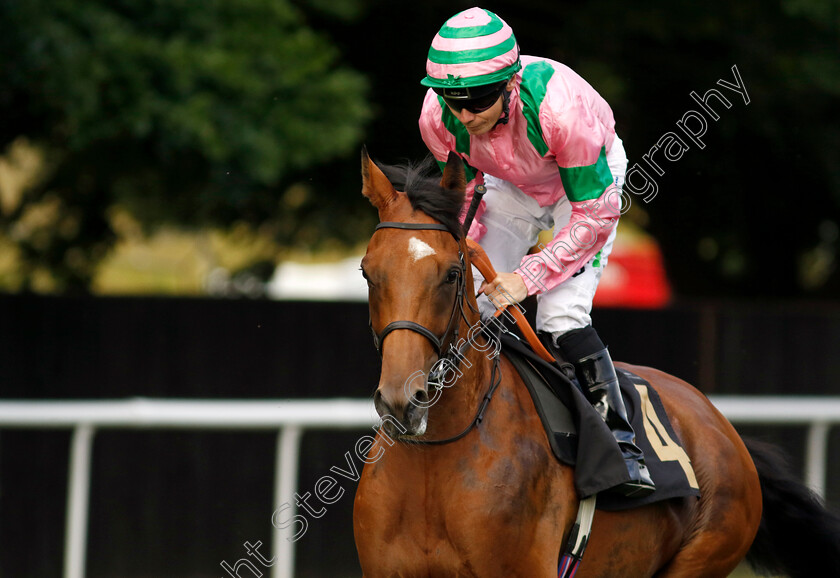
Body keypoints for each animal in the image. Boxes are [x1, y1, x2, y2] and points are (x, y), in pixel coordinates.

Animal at [352, 150, 840, 576]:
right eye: (366, 271)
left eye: (452, 274)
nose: (403, 402)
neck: (434, 458)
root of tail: (723, 427)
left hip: (707, 550)